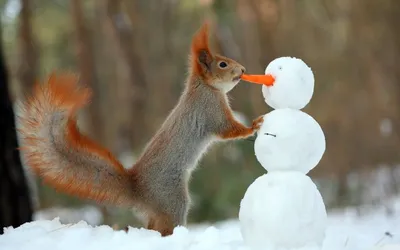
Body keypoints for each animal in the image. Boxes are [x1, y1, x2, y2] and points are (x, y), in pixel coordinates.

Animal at [18, 22, 264, 235]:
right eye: (222, 64)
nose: (243, 70)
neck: (204, 87)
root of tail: (138, 189)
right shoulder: (210, 111)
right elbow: (228, 130)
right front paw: (253, 126)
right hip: (172, 200)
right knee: (164, 227)